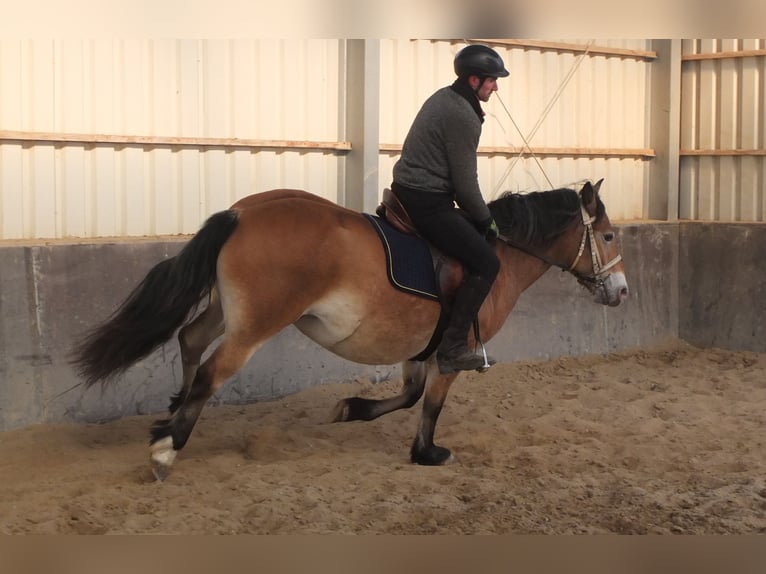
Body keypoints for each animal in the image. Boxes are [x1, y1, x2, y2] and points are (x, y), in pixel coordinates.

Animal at [70, 180, 632, 482]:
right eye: (607, 236)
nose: (622, 292)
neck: (498, 255)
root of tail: (243, 212)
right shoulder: (453, 351)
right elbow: (431, 404)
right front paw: (427, 454)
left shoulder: (418, 349)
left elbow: (408, 396)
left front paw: (351, 409)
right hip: (255, 325)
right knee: (211, 373)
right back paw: (168, 450)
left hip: (227, 313)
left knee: (189, 340)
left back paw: (168, 422)